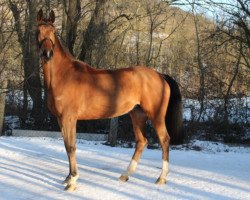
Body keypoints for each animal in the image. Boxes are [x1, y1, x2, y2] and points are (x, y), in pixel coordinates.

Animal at [35, 9, 184, 191]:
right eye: (38, 31)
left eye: (53, 31)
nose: (47, 54)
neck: (63, 75)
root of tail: (160, 75)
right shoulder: (60, 119)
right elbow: (66, 145)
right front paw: (68, 177)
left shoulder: (69, 118)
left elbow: (71, 147)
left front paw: (73, 181)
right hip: (137, 115)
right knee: (141, 141)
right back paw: (125, 175)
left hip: (156, 116)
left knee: (164, 140)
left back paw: (161, 178)